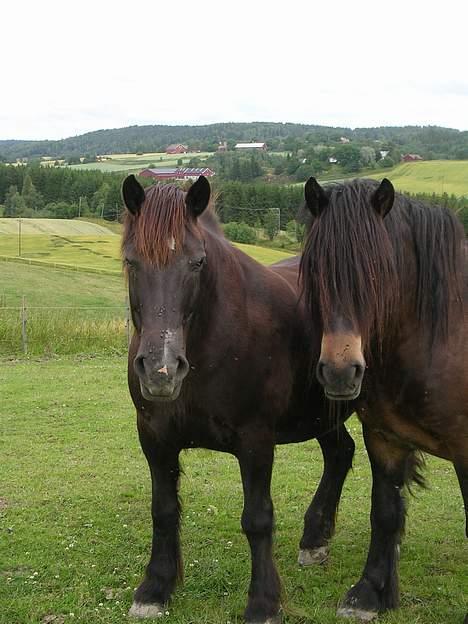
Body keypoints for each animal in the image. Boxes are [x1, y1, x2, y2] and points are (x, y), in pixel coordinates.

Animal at [120, 176, 354, 624]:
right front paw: (155, 587)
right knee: (340, 453)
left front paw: (263, 602)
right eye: (131, 261)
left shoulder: (256, 441)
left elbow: (257, 519)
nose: (161, 369)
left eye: (197, 262)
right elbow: (163, 510)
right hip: (323, 412)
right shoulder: (154, 438)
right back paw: (315, 539)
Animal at [298, 178, 466, 620]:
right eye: (314, 269)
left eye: (379, 271)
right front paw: (371, 592)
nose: (340, 372)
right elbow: (385, 512)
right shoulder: (384, 438)